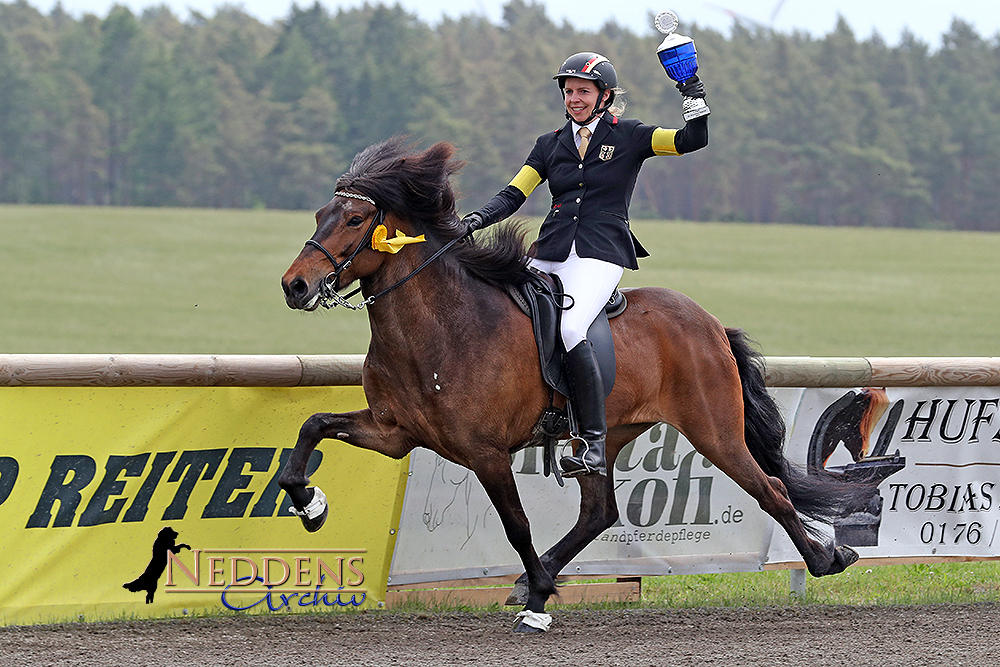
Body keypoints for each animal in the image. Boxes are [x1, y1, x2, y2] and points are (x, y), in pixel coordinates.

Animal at [280, 138, 868, 636]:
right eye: (320, 215)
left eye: (355, 218)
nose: (295, 286)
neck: (443, 328)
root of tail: (710, 324)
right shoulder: (393, 432)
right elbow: (310, 429)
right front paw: (310, 504)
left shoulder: (485, 452)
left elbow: (517, 526)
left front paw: (540, 596)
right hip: (603, 437)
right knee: (599, 512)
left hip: (715, 432)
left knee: (770, 489)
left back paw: (826, 558)